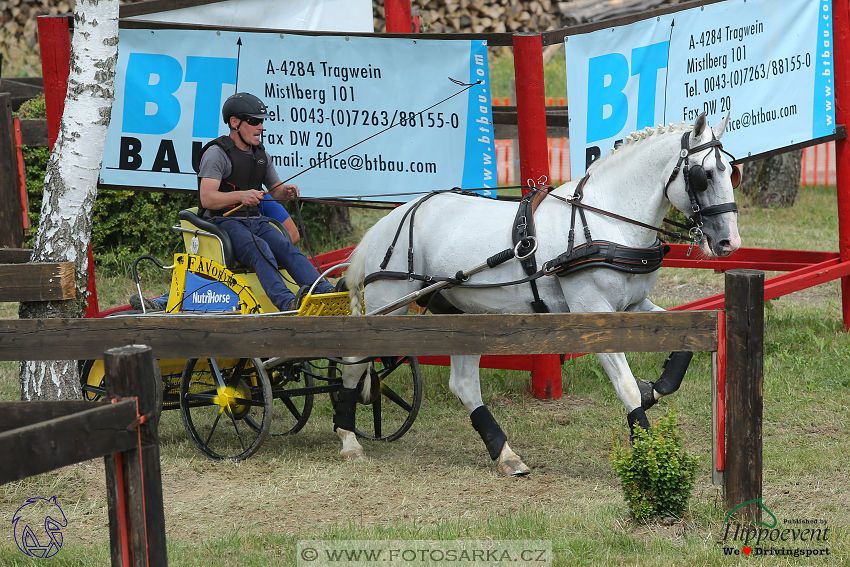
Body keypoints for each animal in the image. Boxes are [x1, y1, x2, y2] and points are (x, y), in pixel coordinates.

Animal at [332, 111, 736, 474]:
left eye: (730, 171)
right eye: (703, 175)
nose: (728, 242)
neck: (606, 220)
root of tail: (388, 220)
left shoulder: (631, 305)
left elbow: (683, 344)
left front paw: (657, 387)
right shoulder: (592, 310)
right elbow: (626, 387)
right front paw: (648, 449)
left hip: (462, 314)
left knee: (463, 385)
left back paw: (505, 454)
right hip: (388, 306)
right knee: (354, 362)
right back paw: (348, 439)